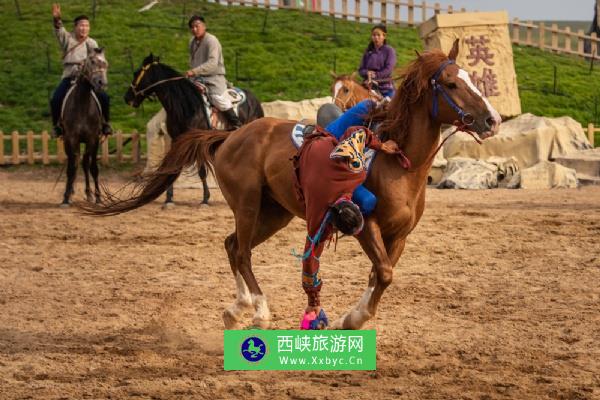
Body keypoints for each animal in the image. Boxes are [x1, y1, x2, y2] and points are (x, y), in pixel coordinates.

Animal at [61, 47, 109, 206]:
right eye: (92, 62)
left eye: (105, 63)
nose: (101, 83)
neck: (82, 103)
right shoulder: (71, 138)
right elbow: (71, 167)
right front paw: (66, 197)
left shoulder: (93, 139)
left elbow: (92, 167)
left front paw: (98, 197)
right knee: (74, 162)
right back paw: (71, 191)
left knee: (85, 163)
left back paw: (89, 194)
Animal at [125, 53, 264, 206]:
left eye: (136, 73)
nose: (127, 98)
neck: (186, 106)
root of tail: (254, 99)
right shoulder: (176, 140)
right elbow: (171, 168)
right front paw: (169, 198)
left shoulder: (197, 142)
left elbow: (202, 171)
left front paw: (205, 198)